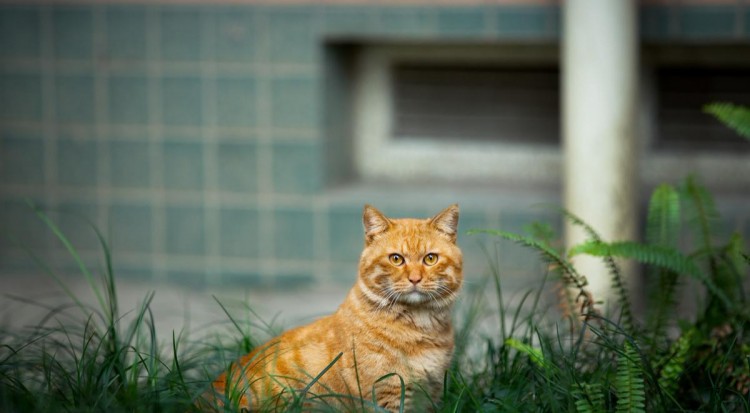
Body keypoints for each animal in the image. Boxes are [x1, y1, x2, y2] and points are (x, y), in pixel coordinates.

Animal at [207, 204, 464, 410]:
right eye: (396, 259)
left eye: (430, 259)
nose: (415, 279)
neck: (420, 326)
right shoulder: (387, 394)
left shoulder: (431, 394)